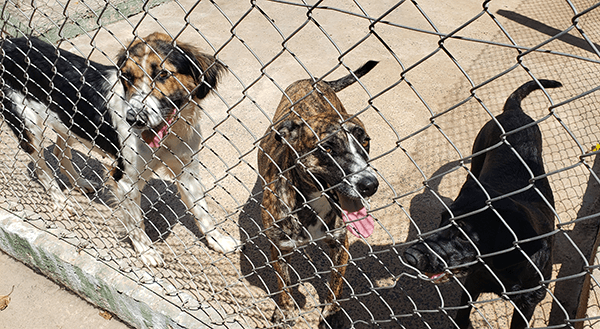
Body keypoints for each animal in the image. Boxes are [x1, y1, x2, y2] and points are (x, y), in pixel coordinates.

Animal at [0, 32, 239, 264]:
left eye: (163, 74)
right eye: (127, 77)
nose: (134, 118)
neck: (170, 134)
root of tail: (7, 42)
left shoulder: (187, 169)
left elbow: (203, 212)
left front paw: (218, 240)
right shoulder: (125, 180)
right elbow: (136, 222)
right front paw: (146, 251)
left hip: (69, 123)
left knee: (60, 154)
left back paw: (80, 183)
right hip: (29, 126)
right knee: (41, 168)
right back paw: (61, 201)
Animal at [404, 80, 564, 328]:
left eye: (463, 235)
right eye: (441, 219)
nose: (410, 256)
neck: (504, 267)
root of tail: (513, 111)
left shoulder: (528, 302)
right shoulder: (472, 283)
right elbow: (462, 314)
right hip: (477, 155)